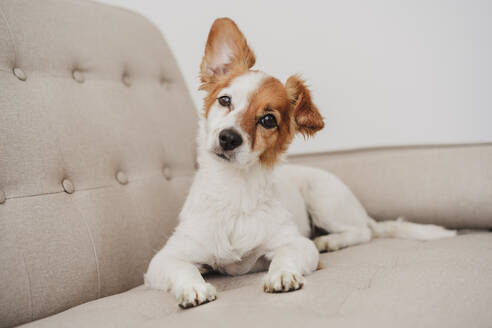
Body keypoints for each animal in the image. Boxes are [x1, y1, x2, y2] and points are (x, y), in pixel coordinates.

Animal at [143, 17, 458, 310]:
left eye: (268, 120)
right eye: (225, 100)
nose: (229, 138)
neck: (236, 191)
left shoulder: (297, 245)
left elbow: (285, 256)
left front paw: (282, 275)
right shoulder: (163, 259)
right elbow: (183, 268)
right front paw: (193, 288)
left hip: (324, 200)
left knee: (363, 232)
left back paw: (331, 241)